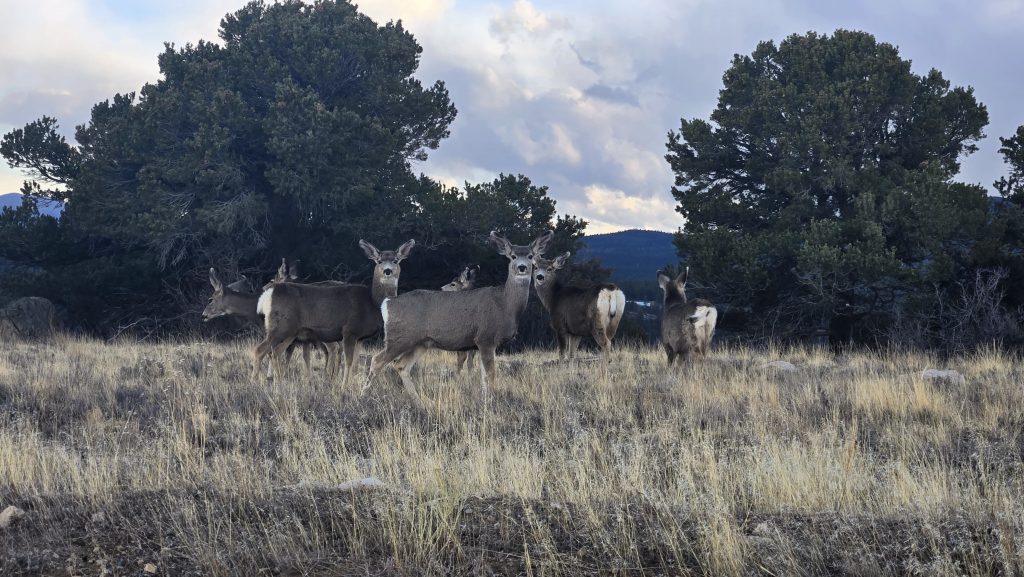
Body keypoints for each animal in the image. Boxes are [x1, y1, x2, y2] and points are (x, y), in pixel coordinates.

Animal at [254, 239, 416, 386]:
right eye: (379, 260)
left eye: (395, 260)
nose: (387, 271)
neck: (372, 303)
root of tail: (267, 294)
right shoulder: (349, 330)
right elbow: (348, 362)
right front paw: (343, 388)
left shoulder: (360, 337)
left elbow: (355, 364)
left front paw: (351, 388)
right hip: (280, 327)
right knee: (260, 350)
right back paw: (255, 383)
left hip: (291, 332)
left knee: (275, 352)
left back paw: (279, 384)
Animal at [363, 231, 553, 402]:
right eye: (513, 256)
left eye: (530, 256)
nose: (522, 267)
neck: (505, 304)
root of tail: (387, 303)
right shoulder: (485, 337)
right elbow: (490, 374)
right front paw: (492, 402)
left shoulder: (482, 344)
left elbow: (483, 376)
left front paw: (484, 399)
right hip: (399, 337)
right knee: (377, 360)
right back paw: (363, 396)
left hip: (421, 342)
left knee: (402, 365)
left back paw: (420, 401)